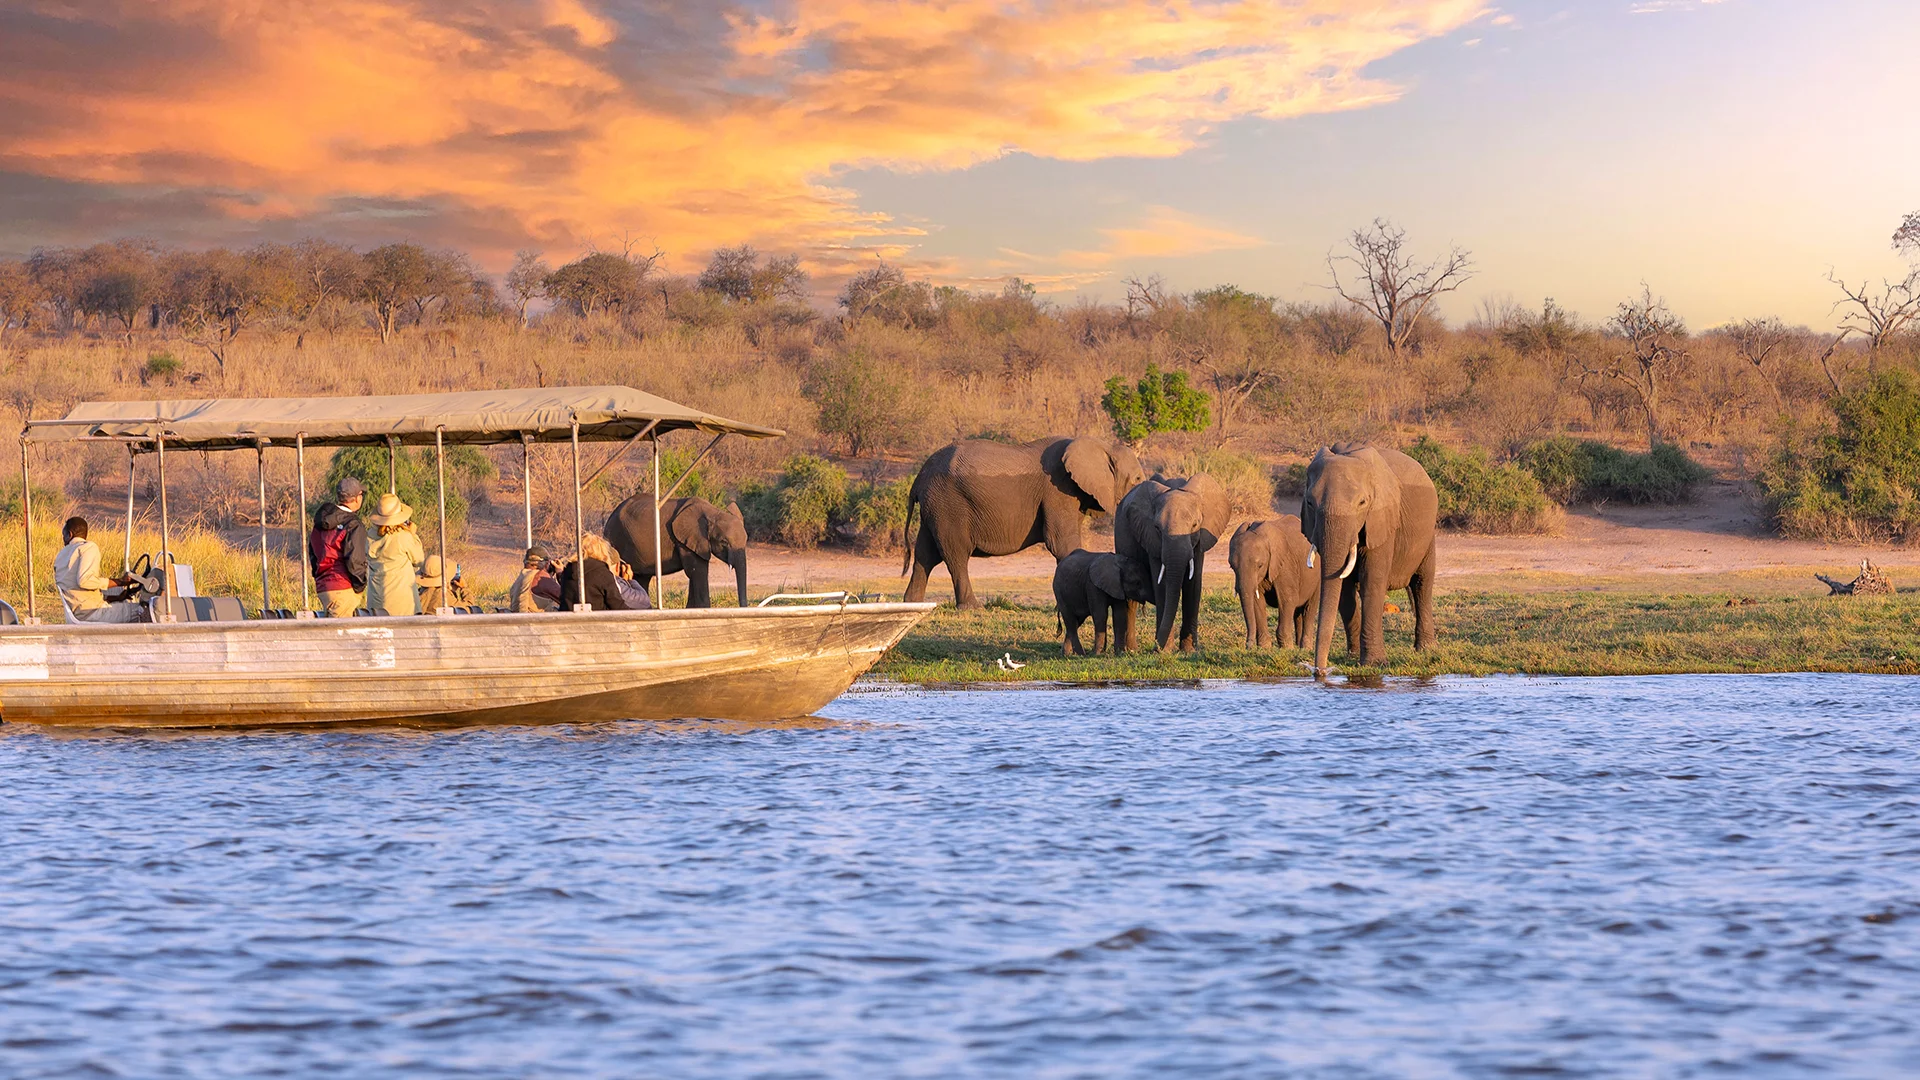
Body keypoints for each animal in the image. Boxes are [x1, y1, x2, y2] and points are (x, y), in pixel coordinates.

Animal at [604, 493, 748, 608]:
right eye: (724, 542)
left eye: (746, 540)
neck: (713, 512)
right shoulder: (686, 540)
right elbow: (697, 571)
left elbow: (694, 573)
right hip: (617, 538)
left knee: (642, 578)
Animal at [903, 436, 1145, 607]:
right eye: (1138, 479)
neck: (1101, 444)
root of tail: (920, 477)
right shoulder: (1058, 490)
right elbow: (1061, 542)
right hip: (948, 504)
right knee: (956, 554)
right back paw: (971, 607)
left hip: (934, 507)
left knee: (925, 554)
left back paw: (912, 604)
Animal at [1113, 473, 1230, 652]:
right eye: (1157, 528)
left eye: (1195, 525)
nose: (1156, 648)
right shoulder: (1151, 539)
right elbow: (1162, 585)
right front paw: (1165, 650)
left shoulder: (1200, 541)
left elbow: (1193, 584)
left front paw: (1189, 650)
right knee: (1130, 601)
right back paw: (1130, 650)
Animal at [1228, 516, 1320, 649]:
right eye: (1232, 567)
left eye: (1260, 565)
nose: (1248, 646)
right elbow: (1257, 601)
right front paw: (1264, 647)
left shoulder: (1285, 565)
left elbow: (1287, 599)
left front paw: (1287, 648)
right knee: (1298, 611)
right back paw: (1298, 646)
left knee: (1309, 608)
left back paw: (1305, 648)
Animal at [1299, 443, 1439, 675]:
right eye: (1309, 502)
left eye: (1362, 503)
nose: (1319, 672)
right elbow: (1344, 591)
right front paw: (1353, 657)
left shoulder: (1381, 519)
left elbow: (1372, 582)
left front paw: (1375, 664)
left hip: (1428, 535)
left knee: (1422, 584)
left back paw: (1425, 649)